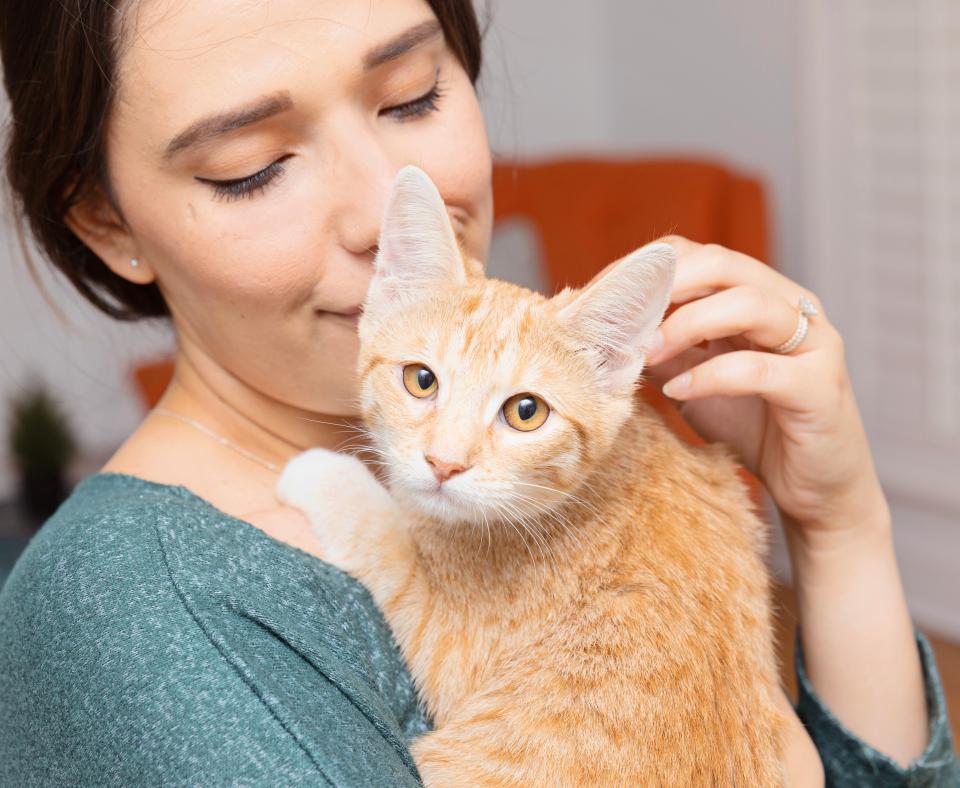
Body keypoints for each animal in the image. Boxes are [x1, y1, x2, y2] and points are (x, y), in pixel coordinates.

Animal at [278, 165, 788, 780]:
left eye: (526, 412)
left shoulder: (450, 640)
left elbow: (386, 541)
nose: (444, 463)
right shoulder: (723, 483)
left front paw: (322, 473)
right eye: (421, 380)